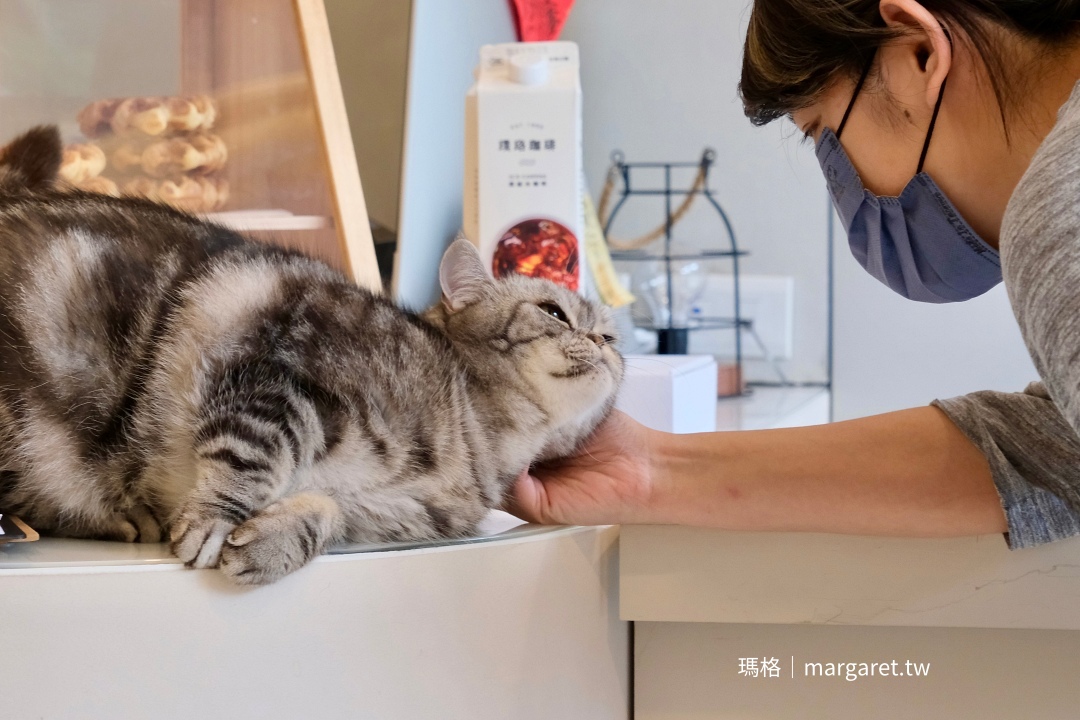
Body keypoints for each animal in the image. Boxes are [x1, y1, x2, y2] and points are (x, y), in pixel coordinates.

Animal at [0, 125, 626, 587]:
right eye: (554, 311)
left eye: (612, 337)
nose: (605, 344)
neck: (480, 443)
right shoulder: (284, 373)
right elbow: (252, 455)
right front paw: (213, 518)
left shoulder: (382, 515)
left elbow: (327, 513)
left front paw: (274, 543)